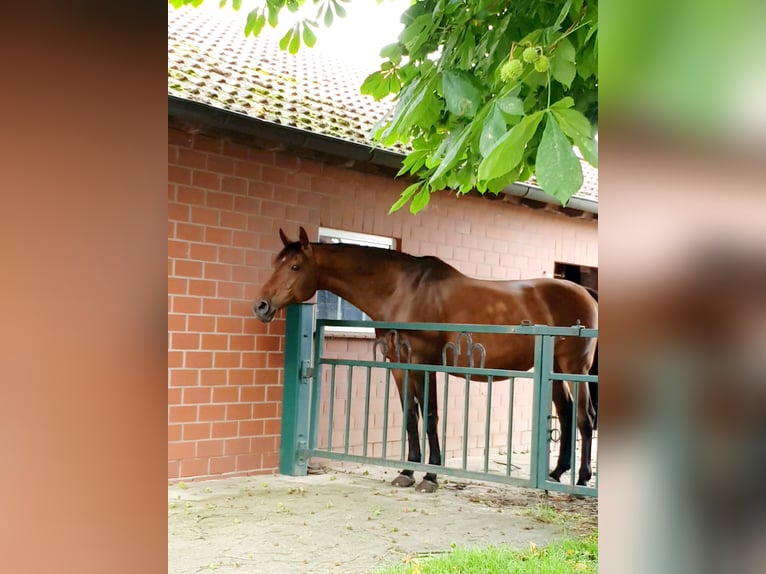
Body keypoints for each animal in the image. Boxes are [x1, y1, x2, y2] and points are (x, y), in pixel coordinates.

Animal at [255, 227, 596, 492]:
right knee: (566, 413)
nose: (261, 306)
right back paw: (556, 474)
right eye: (274, 263)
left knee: (584, 417)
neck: (401, 292)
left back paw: (581, 479)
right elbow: (410, 416)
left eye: (295, 266)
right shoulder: (399, 365)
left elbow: (431, 416)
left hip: (574, 367)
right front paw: (407, 471)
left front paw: (431, 475)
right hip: (553, 369)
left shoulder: (424, 362)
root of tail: (586, 294)